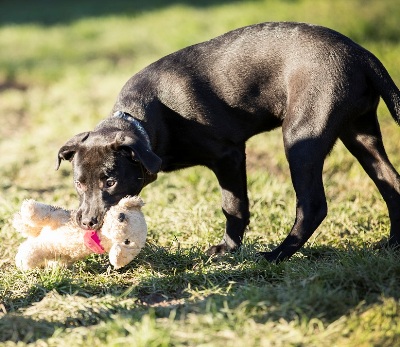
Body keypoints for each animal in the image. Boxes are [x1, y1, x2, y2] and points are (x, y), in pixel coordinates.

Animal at [56, 21, 400, 262]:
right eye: (79, 183)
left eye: (110, 181)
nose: (86, 222)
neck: (144, 118)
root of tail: (362, 54)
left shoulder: (229, 156)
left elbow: (233, 206)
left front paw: (228, 249)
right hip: (360, 134)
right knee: (391, 183)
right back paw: (392, 245)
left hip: (302, 137)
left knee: (313, 205)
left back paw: (275, 256)